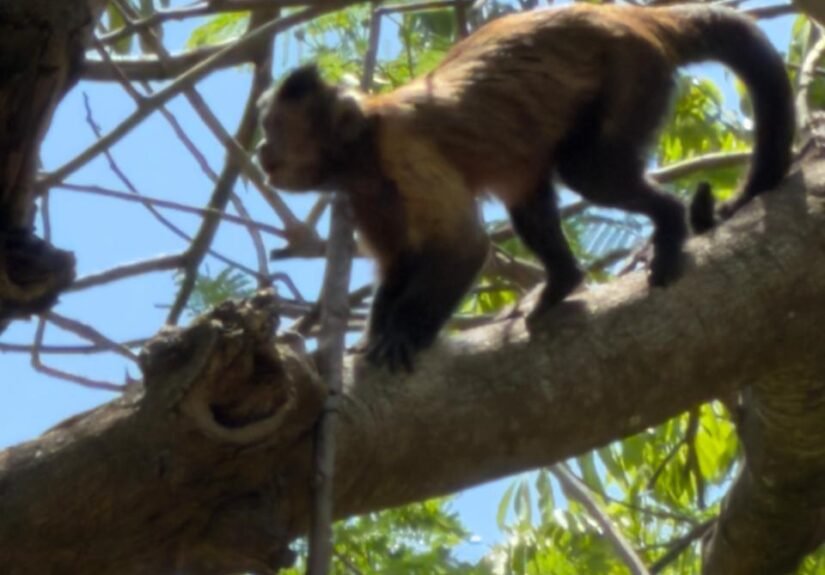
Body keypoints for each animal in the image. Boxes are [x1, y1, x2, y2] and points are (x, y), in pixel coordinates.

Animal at [256, 3, 794, 372]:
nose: (261, 150)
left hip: (632, 69)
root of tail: (636, 17)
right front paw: (373, 337)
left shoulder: (403, 151)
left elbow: (464, 247)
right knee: (528, 198)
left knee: (586, 170)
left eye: (273, 129)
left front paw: (404, 334)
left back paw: (668, 226)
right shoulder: (362, 194)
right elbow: (400, 263)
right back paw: (563, 281)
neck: (363, 148)